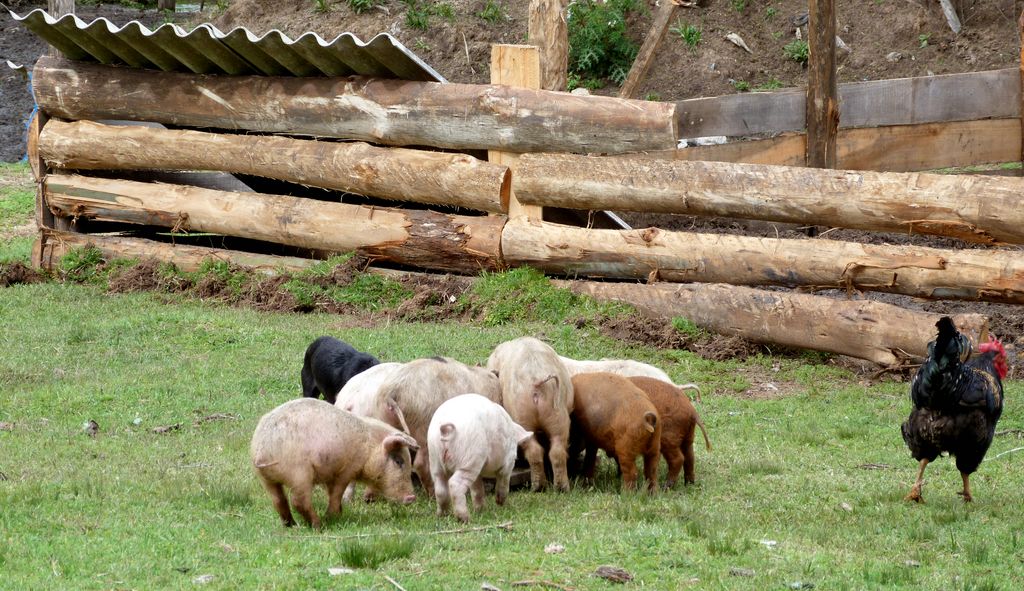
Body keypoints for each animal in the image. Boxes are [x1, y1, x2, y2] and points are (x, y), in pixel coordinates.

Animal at [249, 397, 417, 528]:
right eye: (398, 461)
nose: (412, 497)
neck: (369, 447)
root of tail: (262, 450)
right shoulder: (347, 469)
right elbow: (337, 492)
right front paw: (335, 517)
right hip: (299, 474)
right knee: (298, 501)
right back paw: (318, 526)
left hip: (264, 478)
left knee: (278, 500)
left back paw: (292, 525)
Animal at [428, 391, 536, 520]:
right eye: (515, 457)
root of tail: (446, 430)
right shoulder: (508, 462)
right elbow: (503, 480)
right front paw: (501, 504)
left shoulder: (479, 472)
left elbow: (477, 489)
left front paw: (481, 510)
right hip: (470, 454)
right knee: (455, 484)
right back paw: (465, 518)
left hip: (435, 457)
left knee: (440, 487)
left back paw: (442, 515)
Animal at [483, 335, 573, 493]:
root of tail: (536, 380)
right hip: (558, 414)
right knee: (556, 451)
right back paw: (560, 488)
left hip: (521, 415)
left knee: (534, 451)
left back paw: (537, 487)